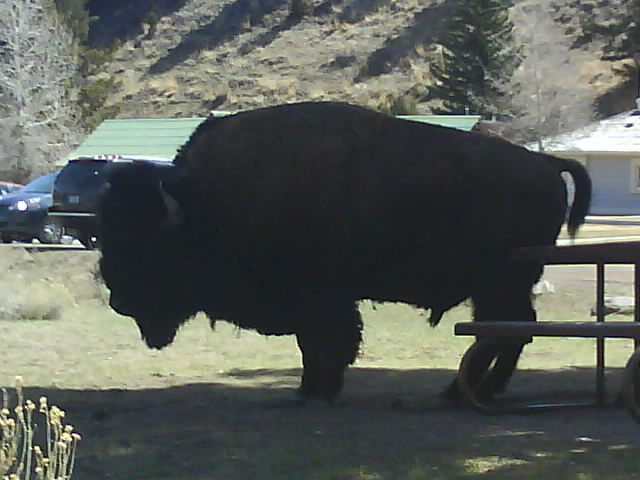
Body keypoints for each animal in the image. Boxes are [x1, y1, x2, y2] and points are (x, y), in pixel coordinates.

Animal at [95, 101, 592, 404]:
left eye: (146, 244)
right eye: (107, 234)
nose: (119, 301)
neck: (211, 203)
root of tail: (543, 163)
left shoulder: (320, 298)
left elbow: (325, 343)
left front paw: (317, 390)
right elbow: (313, 345)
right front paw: (309, 389)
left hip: (499, 282)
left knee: (504, 331)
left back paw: (461, 393)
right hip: (503, 285)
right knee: (512, 330)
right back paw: (476, 392)